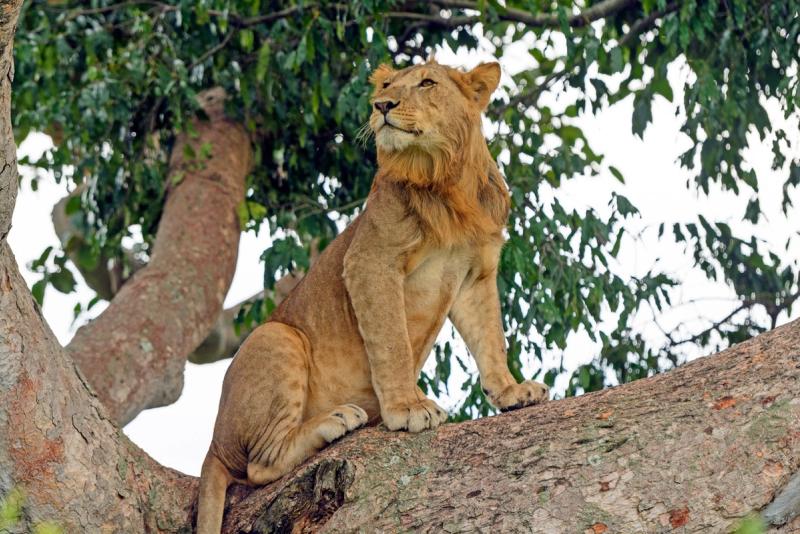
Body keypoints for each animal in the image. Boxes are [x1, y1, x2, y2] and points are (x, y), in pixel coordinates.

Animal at [196, 60, 550, 533]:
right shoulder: (370, 262)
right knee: (258, 466)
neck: (445, 179)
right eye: (385, 86)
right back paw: (336, 420)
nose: (382, 105)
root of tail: (213, 445)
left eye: (426, 83)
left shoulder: (476, 275)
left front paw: (512, 391)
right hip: (276, 336)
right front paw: (407, 407)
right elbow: (391, 343)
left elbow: (491, 340)